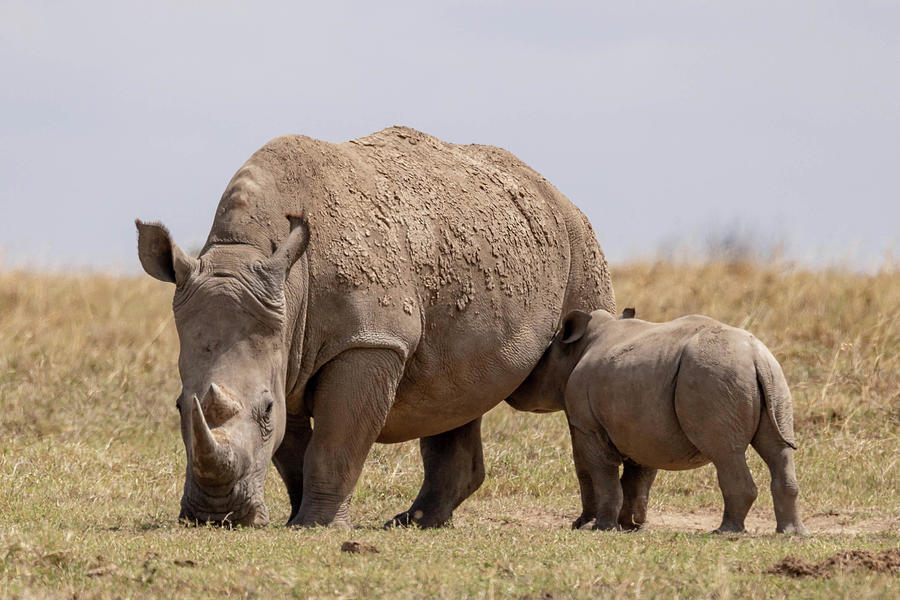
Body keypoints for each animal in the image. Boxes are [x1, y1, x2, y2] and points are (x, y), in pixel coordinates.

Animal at [137, 125, 616, 524]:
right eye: (179, 406)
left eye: (266, 410)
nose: (215, 516)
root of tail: (548, 186)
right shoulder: (286, 350)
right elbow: (292, 451)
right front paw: (295, 516)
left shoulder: (370, 340)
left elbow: (335, 444)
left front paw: (316, 526)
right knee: (456, 392)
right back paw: (415, 523)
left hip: (579, 239)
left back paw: (592, 522)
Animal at [512, 310, 808, 536]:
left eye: (537, 368)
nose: (515, 393)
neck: (574, 351)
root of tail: (755, 356)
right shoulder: (643, 425)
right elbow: (637, 476)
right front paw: (631, 526)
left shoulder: (589, 424)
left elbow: (600, 472)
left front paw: (601, 527)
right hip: (772, 377)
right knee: (778, 451)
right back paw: (792, 534)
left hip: (715, 376)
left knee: (726, 454)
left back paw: (724, 532)